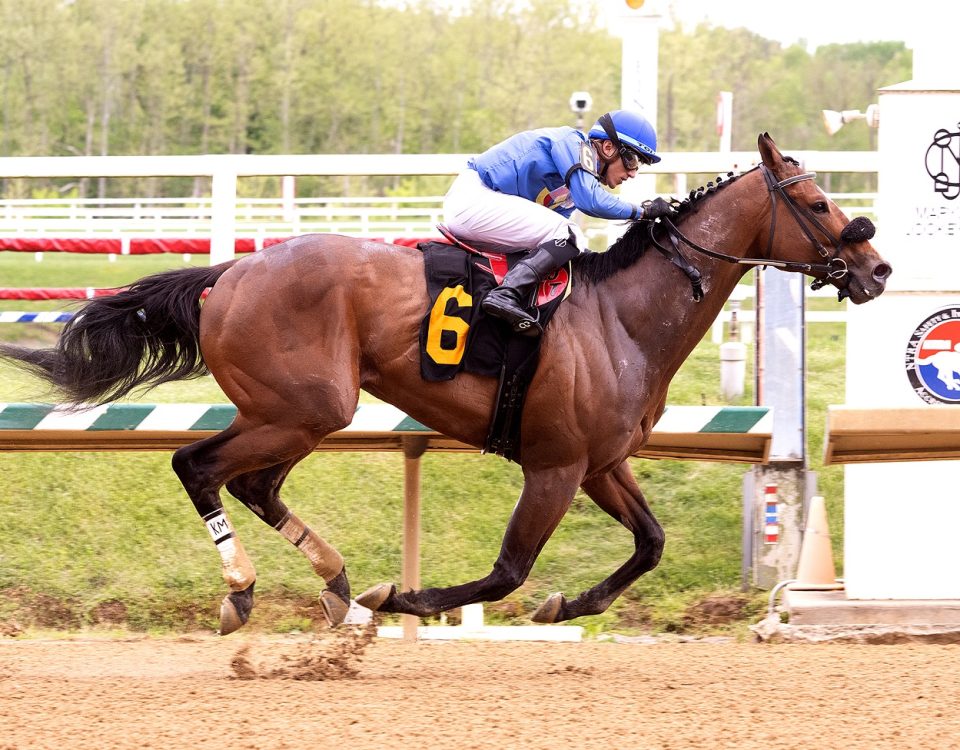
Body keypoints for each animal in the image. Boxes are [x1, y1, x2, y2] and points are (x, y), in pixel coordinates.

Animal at [0, 135, 892, 636]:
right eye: (818, 201)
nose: (877, 268)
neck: (621, 318)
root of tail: (231, 273)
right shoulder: (555, 466)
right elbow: (508, 570)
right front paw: (411, 598)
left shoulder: (602, 463)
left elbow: (650, 544)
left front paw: (567, 607)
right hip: (303, 407)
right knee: (199, 467)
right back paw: (248, 590)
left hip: (295, 414)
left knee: (251, 484)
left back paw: (337, 587)